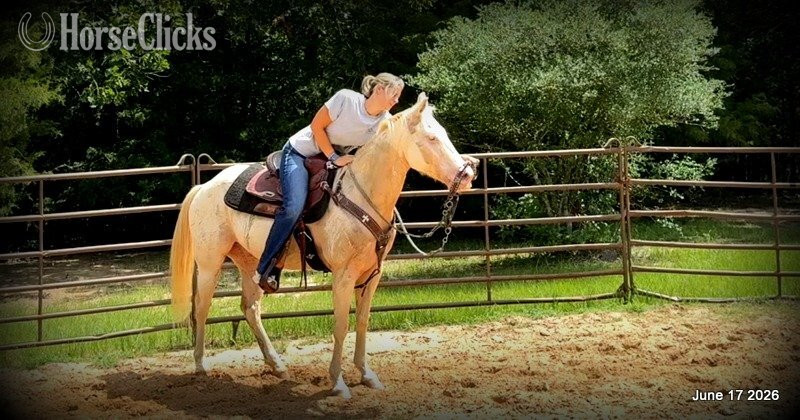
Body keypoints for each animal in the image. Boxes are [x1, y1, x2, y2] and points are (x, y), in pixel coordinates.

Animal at [169, 92, 478, 399]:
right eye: (431, 138)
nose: (466, 176)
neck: (359, 195)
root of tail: (204, 186)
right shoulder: (344, 275)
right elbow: (341, 325)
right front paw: (338, 383)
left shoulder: (371, 276)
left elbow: (363, 322)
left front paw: (366, 375)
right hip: (210, 263)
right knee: (202, 307)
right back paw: (201, 366)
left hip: (251, 261)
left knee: (250, 308)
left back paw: (277, 364)